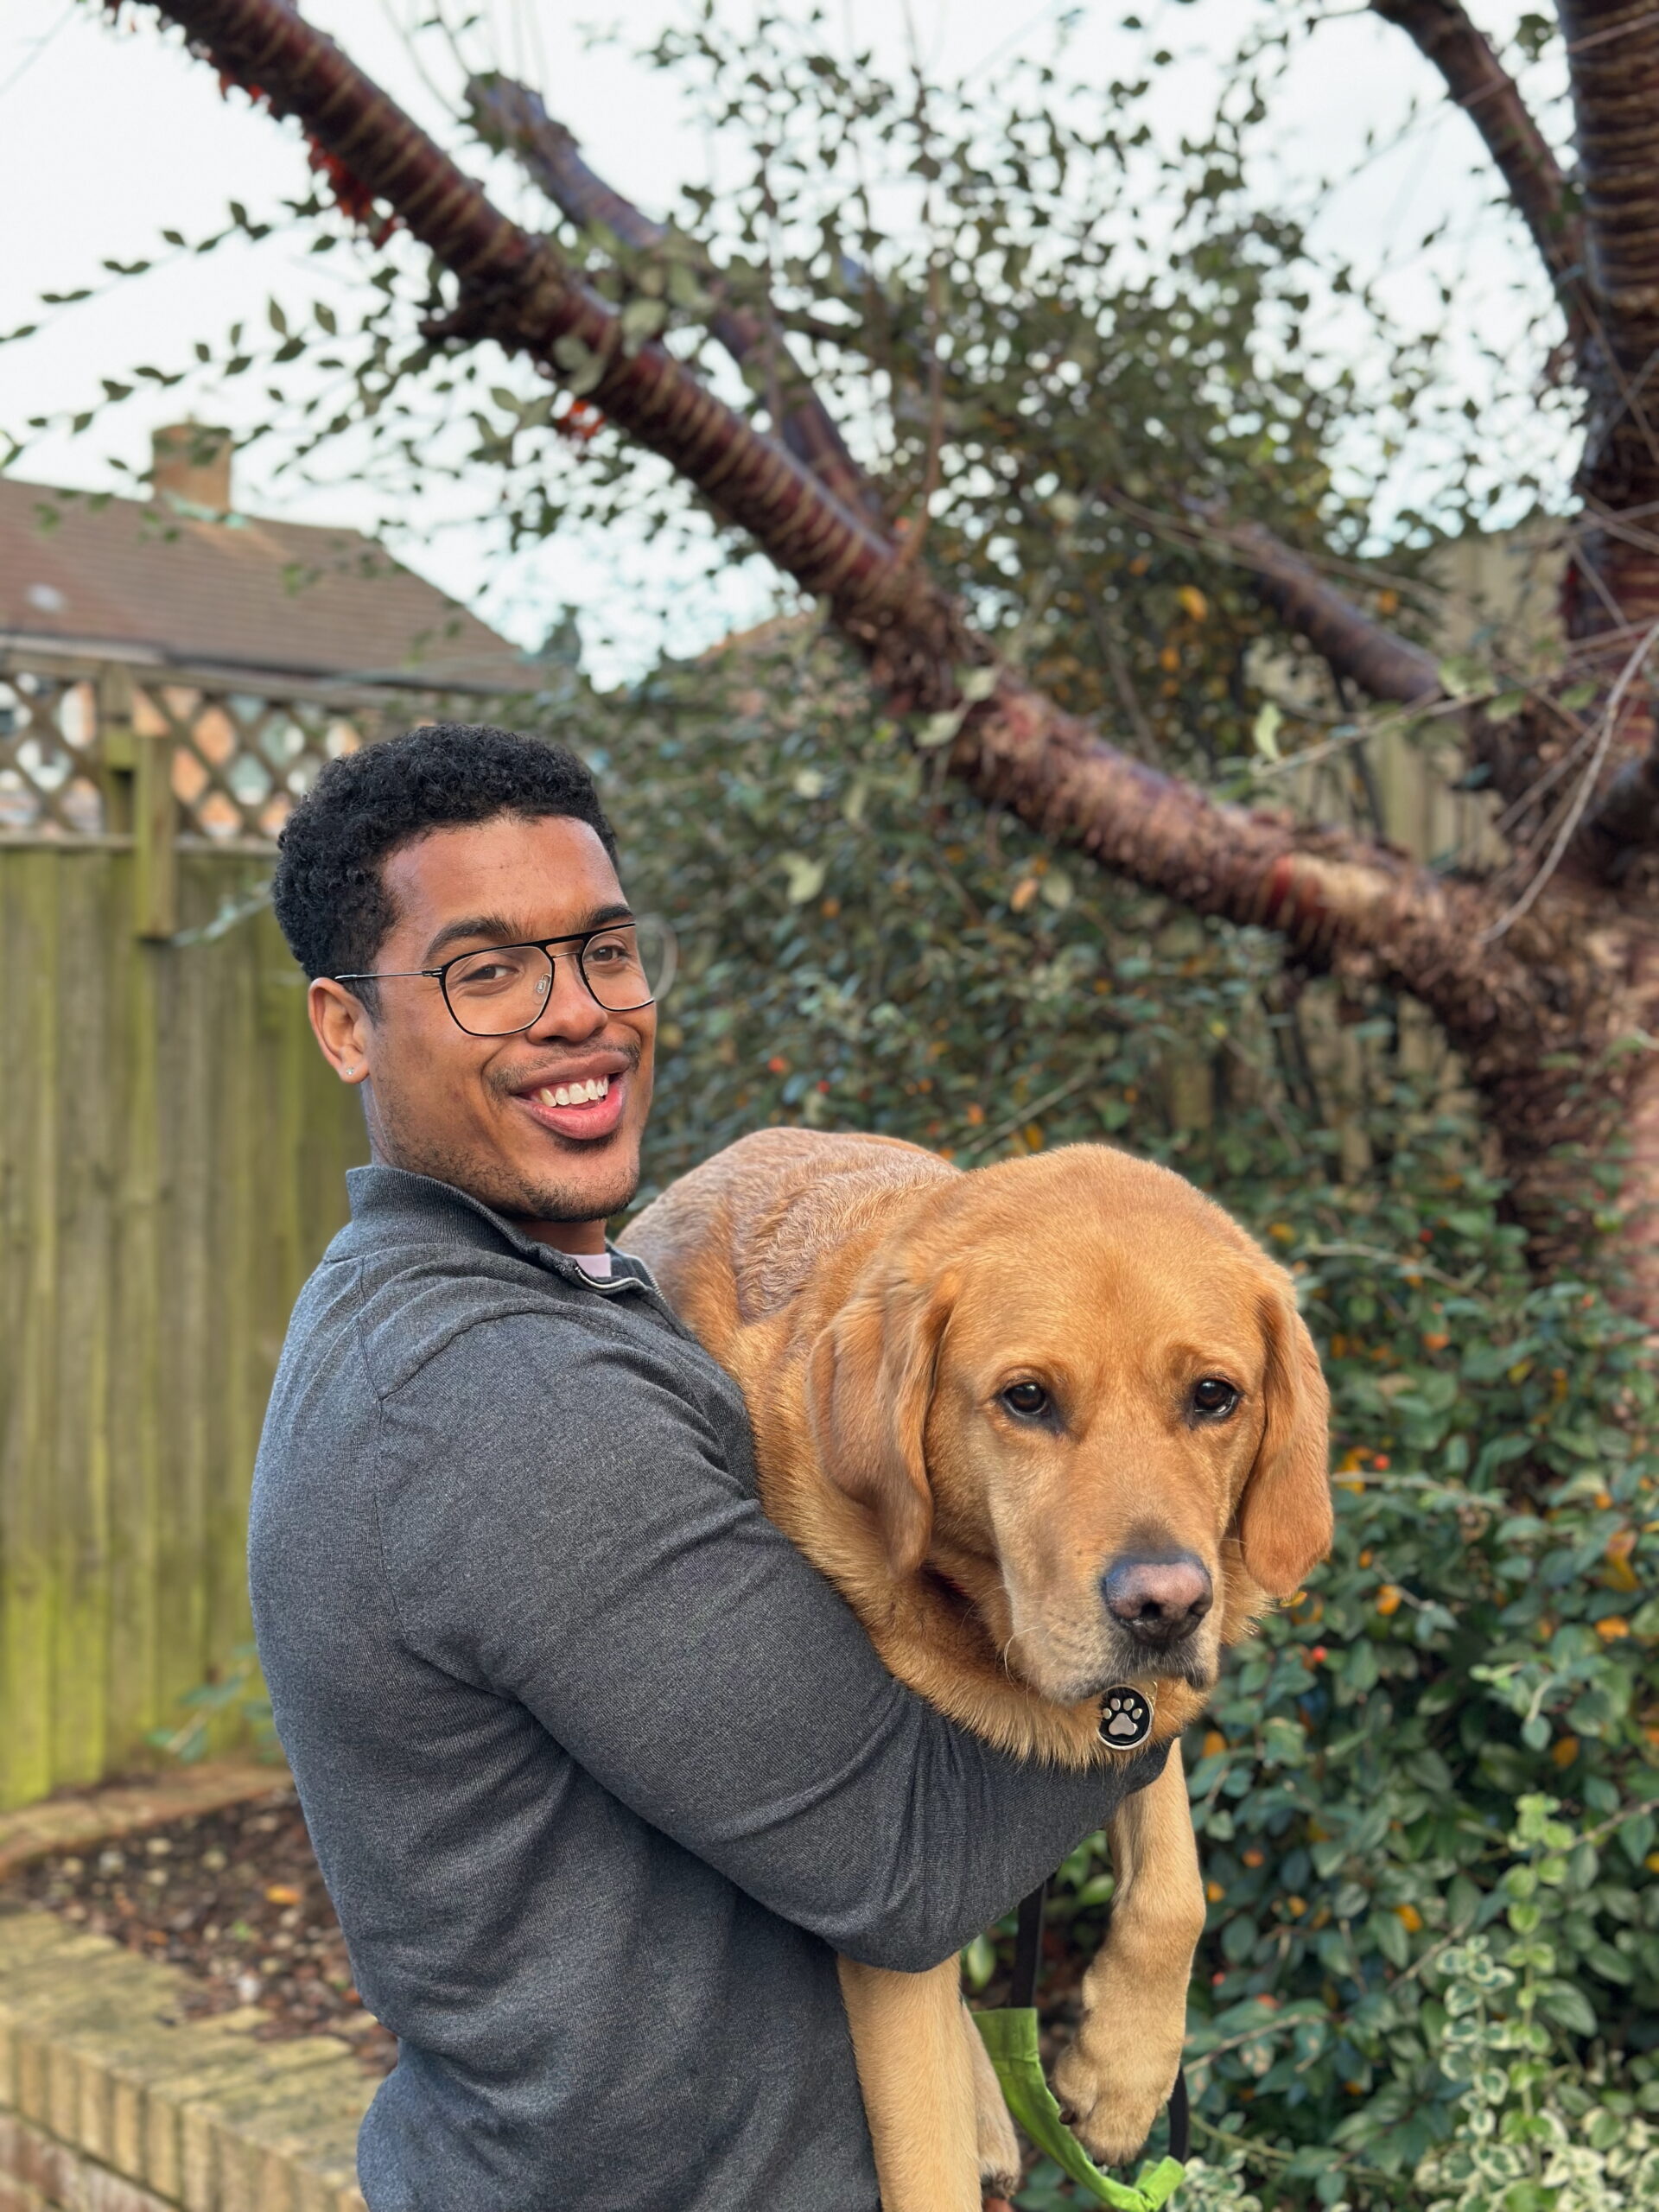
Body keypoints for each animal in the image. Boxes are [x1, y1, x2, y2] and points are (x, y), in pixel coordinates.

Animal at [628, 1132, 1336, 2202]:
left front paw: (1125, 2068)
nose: (1167, 1605)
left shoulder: (1136, 1717)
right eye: (1027, 1399)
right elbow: (924, 2152)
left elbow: (1177, 1884)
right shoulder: (894, 1895)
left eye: (1214, 1396)